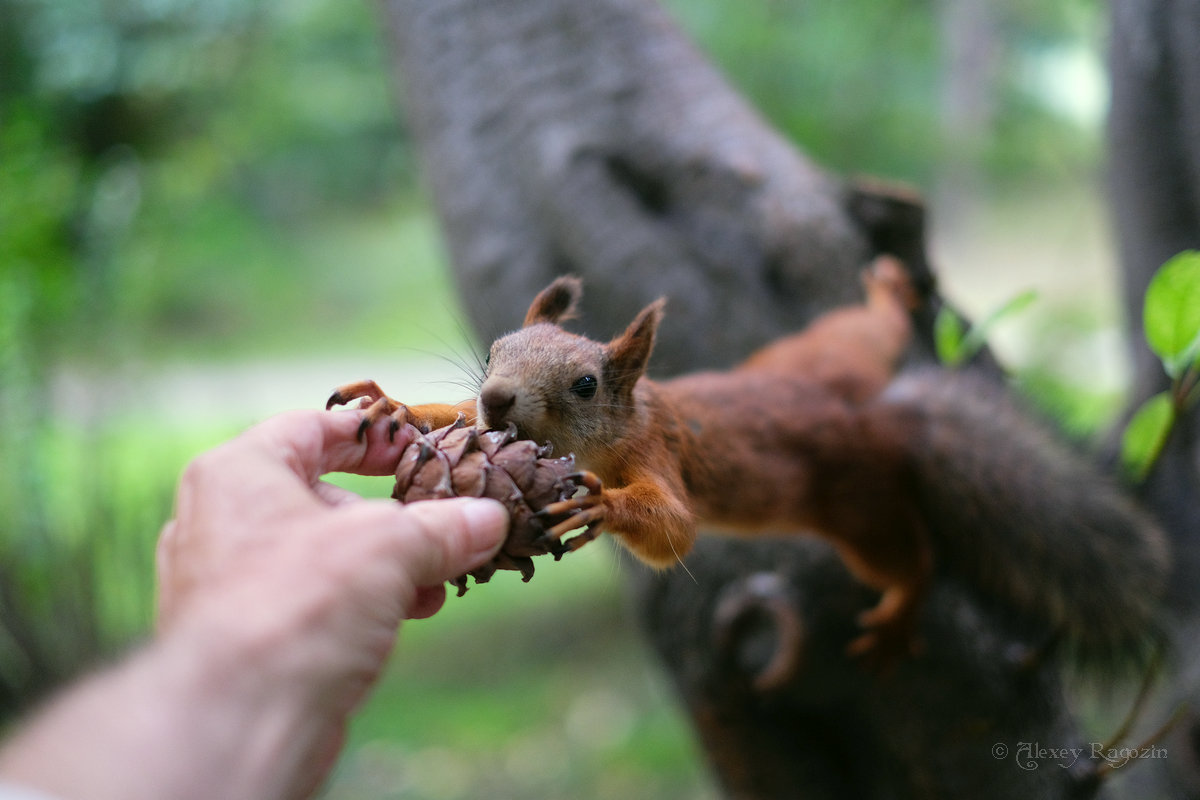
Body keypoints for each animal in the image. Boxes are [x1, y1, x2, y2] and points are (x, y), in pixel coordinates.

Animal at [326, 261, 1161, 671]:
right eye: (496, 349)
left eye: (586, 385)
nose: (496, 399)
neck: (626, 421)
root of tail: (873, 419)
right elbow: (449, 420)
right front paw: (391, 404)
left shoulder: (656, 456)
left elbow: (675, 531)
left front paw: (600, 504)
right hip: (820, 356)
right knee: (868, 330)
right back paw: (889, 288)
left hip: (859, 512)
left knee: (911, 560)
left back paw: (899, 613)